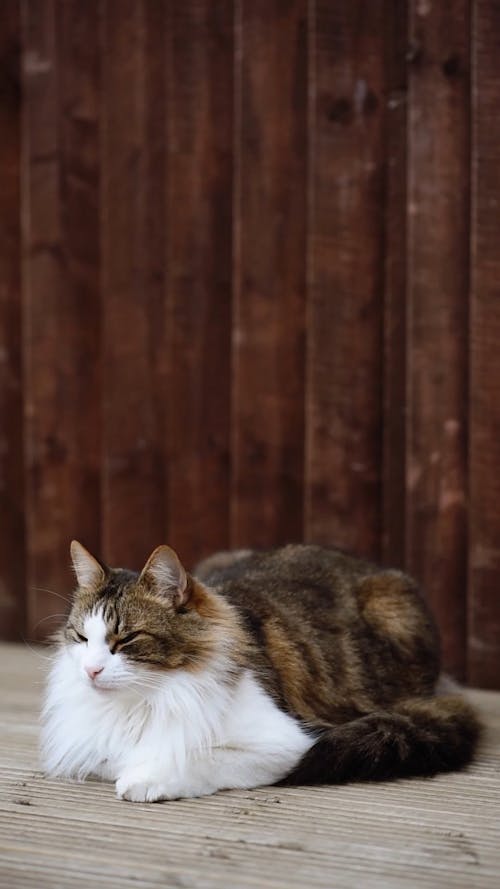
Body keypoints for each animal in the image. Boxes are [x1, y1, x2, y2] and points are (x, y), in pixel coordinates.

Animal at [42, 536, 480, 800]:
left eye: (126, 639)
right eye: (81, 638)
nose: (91, 671)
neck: (144, 699)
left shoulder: (284, 744)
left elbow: (195, 757)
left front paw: (147, 778)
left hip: (391, 607)